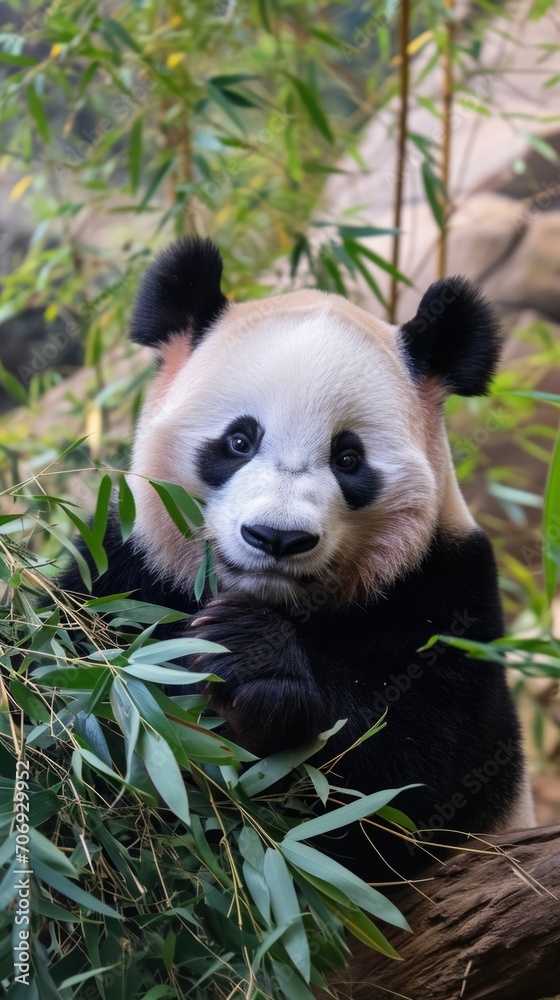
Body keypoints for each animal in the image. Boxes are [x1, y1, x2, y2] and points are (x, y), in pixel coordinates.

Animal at [61, 236, 535, 880]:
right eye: (239, 441)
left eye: (348, 458)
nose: (276, 538)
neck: (277, 600)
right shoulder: (124, 562)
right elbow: (90, 703)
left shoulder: (449, 591)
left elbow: (411, 775)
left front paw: (250, 656)